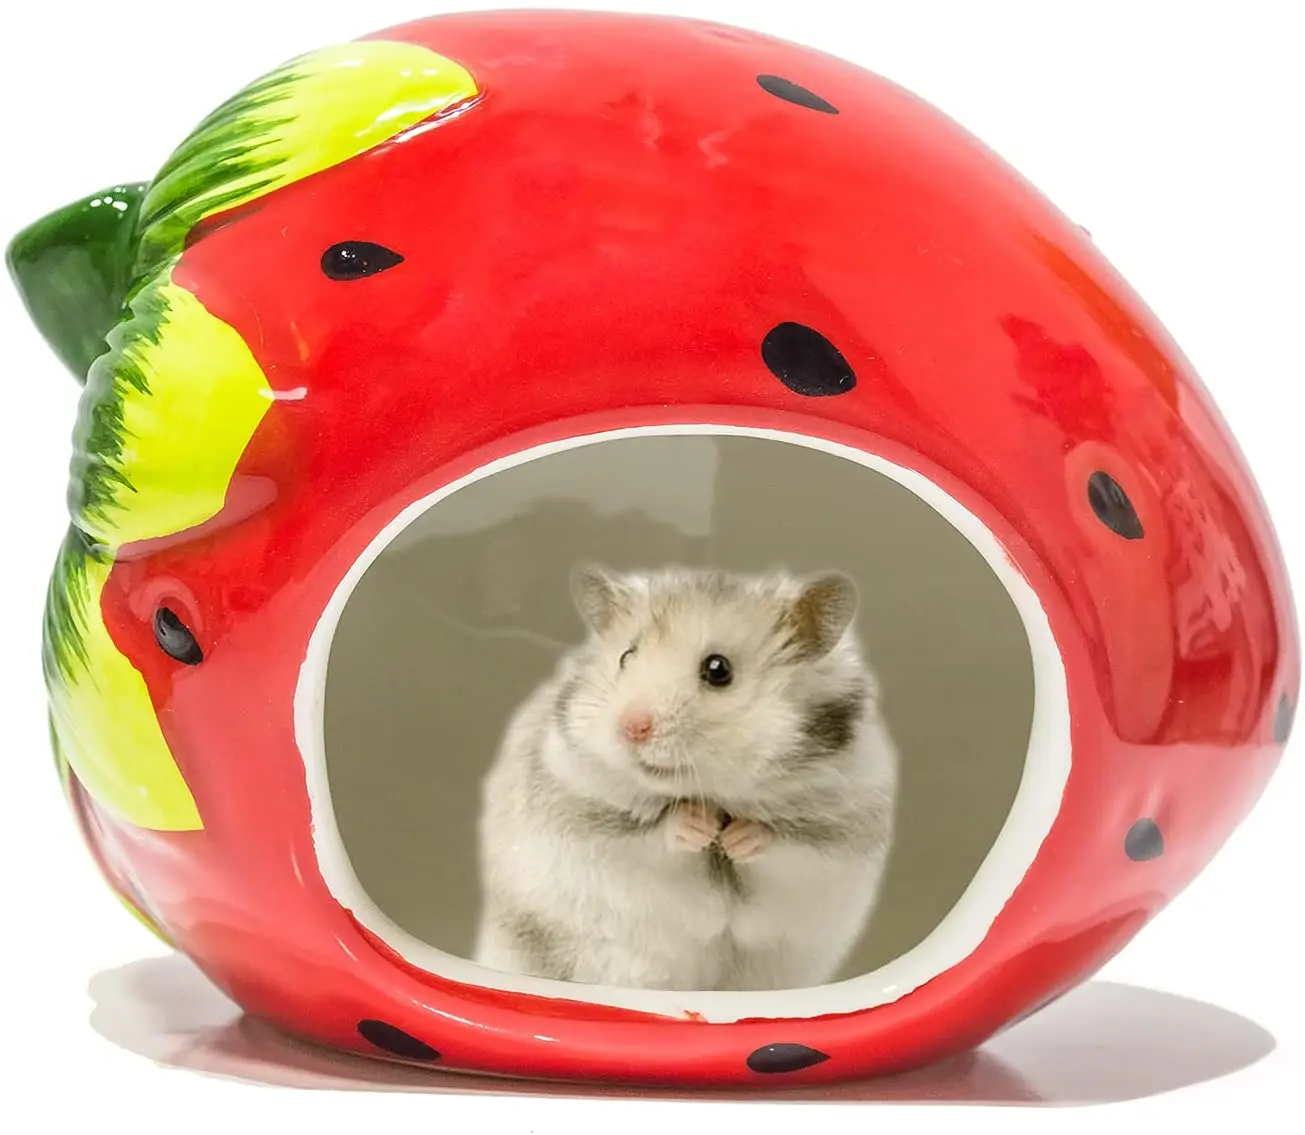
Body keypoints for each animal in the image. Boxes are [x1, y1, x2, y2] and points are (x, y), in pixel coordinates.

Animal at [472, 563, 899, 992]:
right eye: (626, 656)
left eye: (718, 669)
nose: (631, 728)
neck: (712, 793)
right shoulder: (588, 820)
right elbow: (654, 833)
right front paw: (700, 825)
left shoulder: (835, 837)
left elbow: (781, 843)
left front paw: (736, 837)